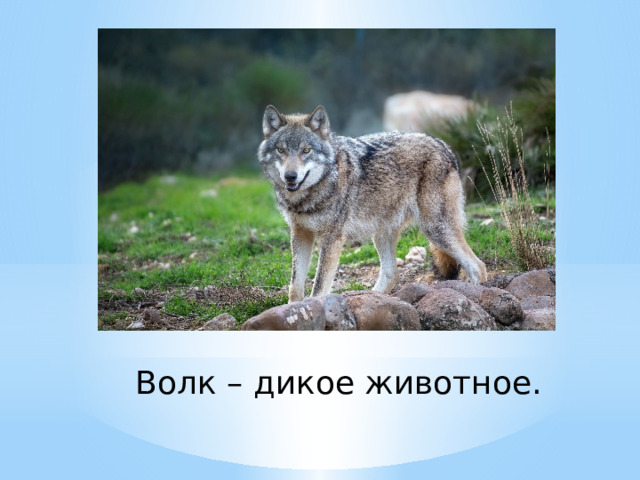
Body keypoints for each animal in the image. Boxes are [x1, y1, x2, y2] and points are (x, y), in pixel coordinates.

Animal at [258, 105, 487, 302]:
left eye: (306, 151)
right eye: (280, 150)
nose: (290, 176)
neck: (307, 197)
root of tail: (444, 145)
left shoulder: (332, 239)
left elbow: (319, 287)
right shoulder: (300, 234)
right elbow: (295, 286)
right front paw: (292, 309)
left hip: (435, 230)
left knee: (478, 266)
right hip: (383, 234)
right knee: (392, 273)